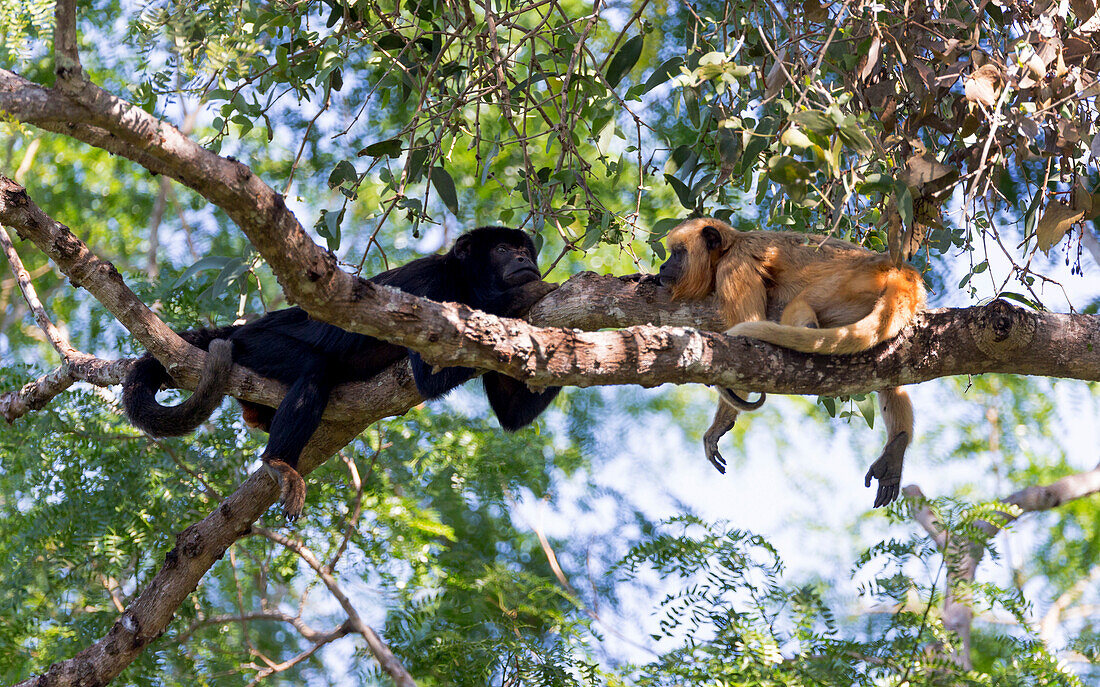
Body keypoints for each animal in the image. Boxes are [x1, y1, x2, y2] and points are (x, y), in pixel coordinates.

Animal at [122, 226, 558, 518]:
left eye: (524, 251)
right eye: (502, 250)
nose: (525, 261)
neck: (466, 284)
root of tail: (244, 327)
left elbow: (511, 412)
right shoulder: (431, 286)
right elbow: (429, 373)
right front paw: (528, 294)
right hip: (258, 343)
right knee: (317, 370)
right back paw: (279, 463)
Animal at [651, 216, 928, 505]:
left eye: (678, 253)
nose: (663, 265)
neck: (730, 246)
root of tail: (901, 271)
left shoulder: (735, 267)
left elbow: (747, 337)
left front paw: (720, 423)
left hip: (853, 283)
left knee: (801, 301)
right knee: (890, 373)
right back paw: (896, 447)